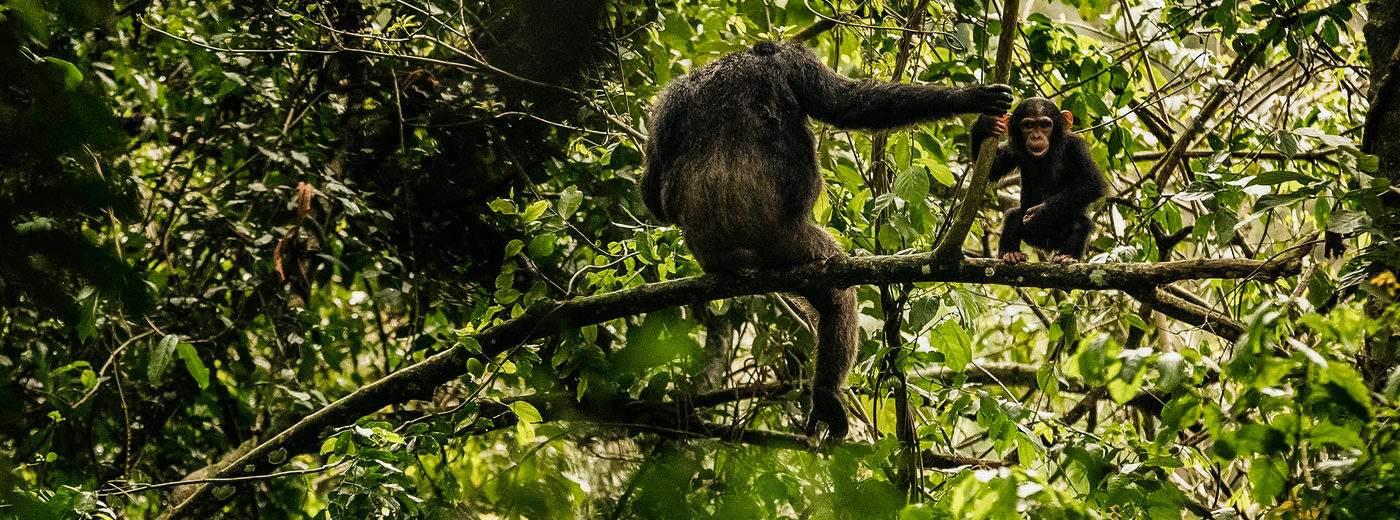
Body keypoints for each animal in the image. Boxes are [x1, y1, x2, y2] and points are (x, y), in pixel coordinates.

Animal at [641, 41, 1013, 440]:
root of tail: (735, 256)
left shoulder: (666, 103)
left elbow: (651, 183)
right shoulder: (795, 63)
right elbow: (847, 103)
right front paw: (971, 98)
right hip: (795, 243)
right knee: (838, 298)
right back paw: (826, 395)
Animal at [974, 98, 1103, 264]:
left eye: (1044, 125)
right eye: (1028, 126)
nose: (1036, 136)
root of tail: (1045, 245)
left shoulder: (1076, 147)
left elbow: (1091, 183)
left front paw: (1040, 213)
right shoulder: (1012, 148)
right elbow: (991, 168)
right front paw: (984, 124)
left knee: (1080, 224)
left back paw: (1066, 256)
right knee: (1014, 217)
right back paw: (1010, 253)